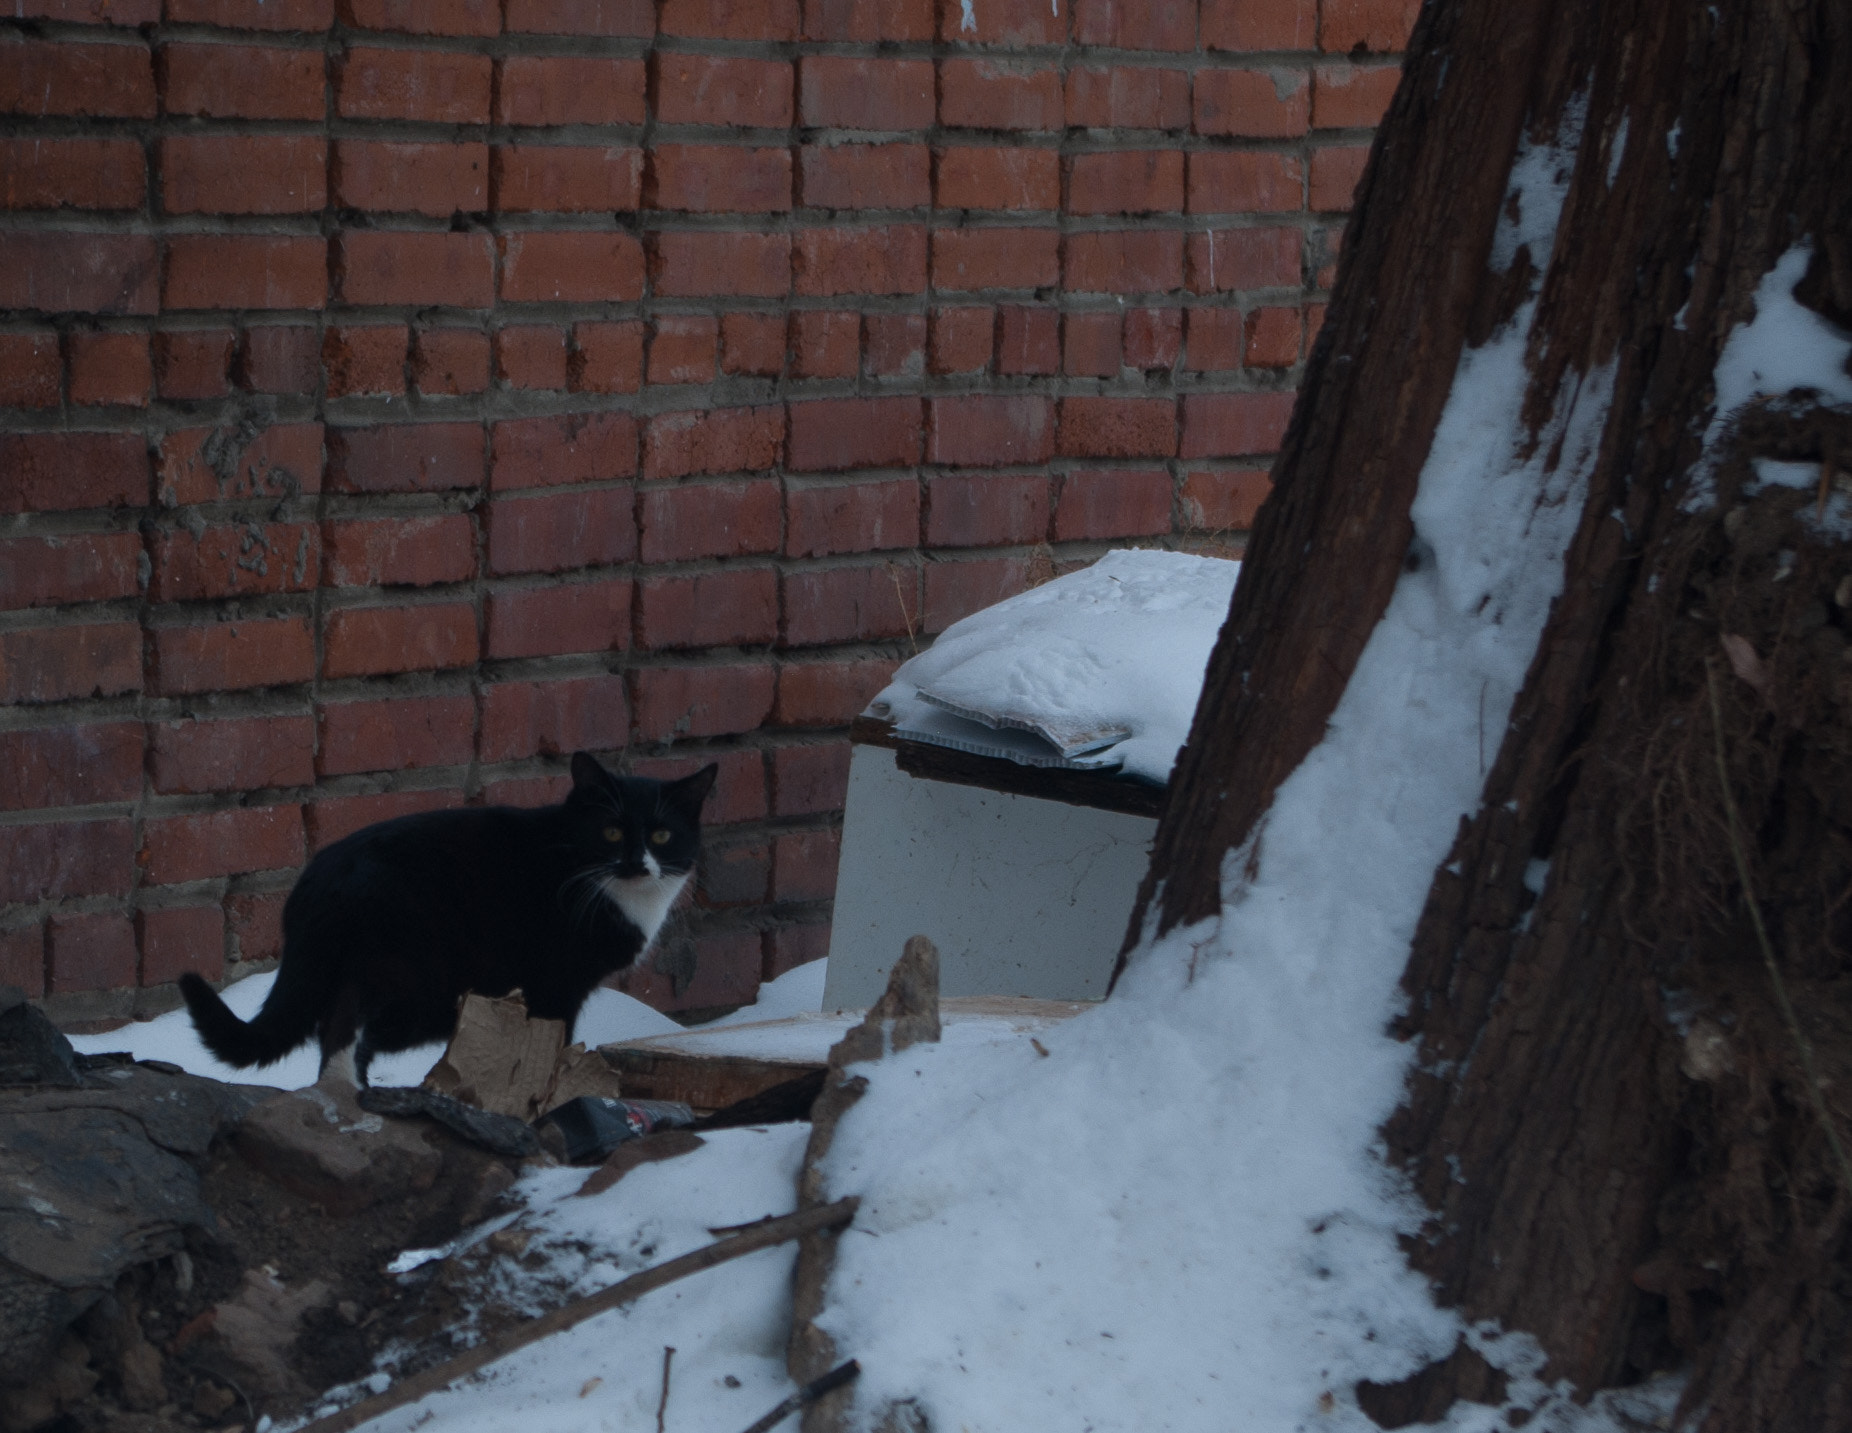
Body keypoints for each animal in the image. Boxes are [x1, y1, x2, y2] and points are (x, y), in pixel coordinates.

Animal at [178, 759, 714, 1081]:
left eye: (663, 836)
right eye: (611, 832)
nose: (637, 863)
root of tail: (312, 884)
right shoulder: (557, 985)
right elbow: (553, 1043)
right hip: (412, 979)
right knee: (349, 1035)